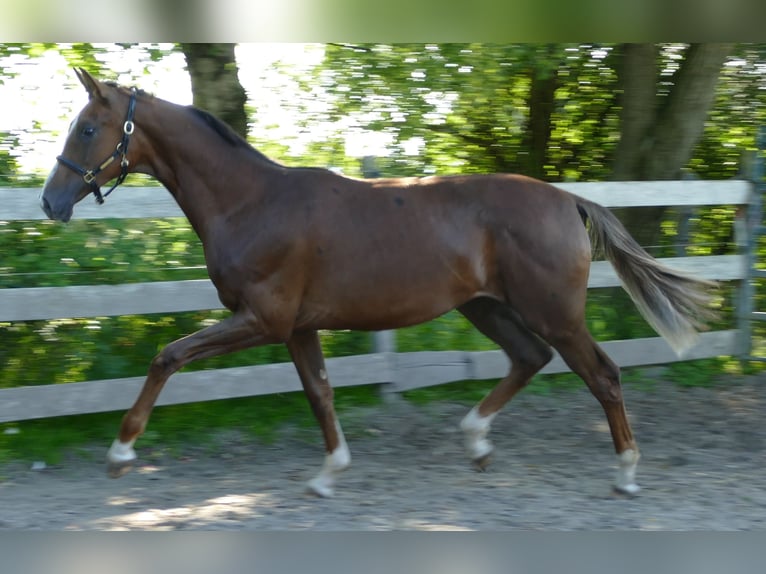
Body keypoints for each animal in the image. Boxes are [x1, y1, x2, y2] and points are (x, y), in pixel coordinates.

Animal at [40, 68, 712, 500]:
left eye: (88, 129)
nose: (51, 202)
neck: (251, 203)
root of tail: (568, 199)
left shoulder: (262, 320)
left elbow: (167, 356)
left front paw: (120, 454)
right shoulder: (298, 327)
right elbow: (320, 393)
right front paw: (328, 474)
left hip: (553, 311)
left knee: (602, 374)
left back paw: (625, 473)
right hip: (486, 307)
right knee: (530, 357)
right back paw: (476, 443)